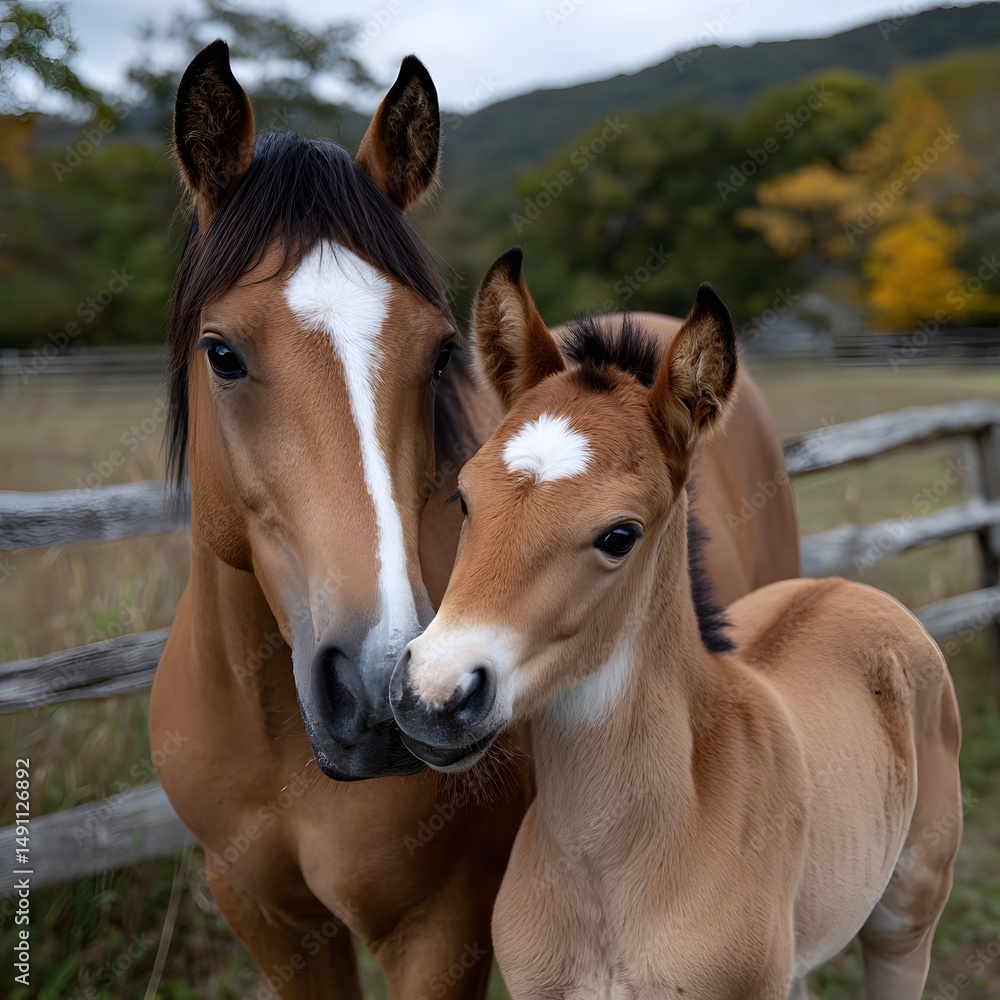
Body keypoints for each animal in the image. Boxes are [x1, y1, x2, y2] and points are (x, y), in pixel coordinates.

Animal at [149, 40, 800, 997]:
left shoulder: (445, 925)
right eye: (221, 353)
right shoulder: (265, 917)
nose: (377, 689)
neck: (279, 739)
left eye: (438, 354)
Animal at [389, 250, 962, 999]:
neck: (610, 868)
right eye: (464, 497)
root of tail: (843, 587)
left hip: (908, 917)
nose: (433, 695)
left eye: (620, 534)